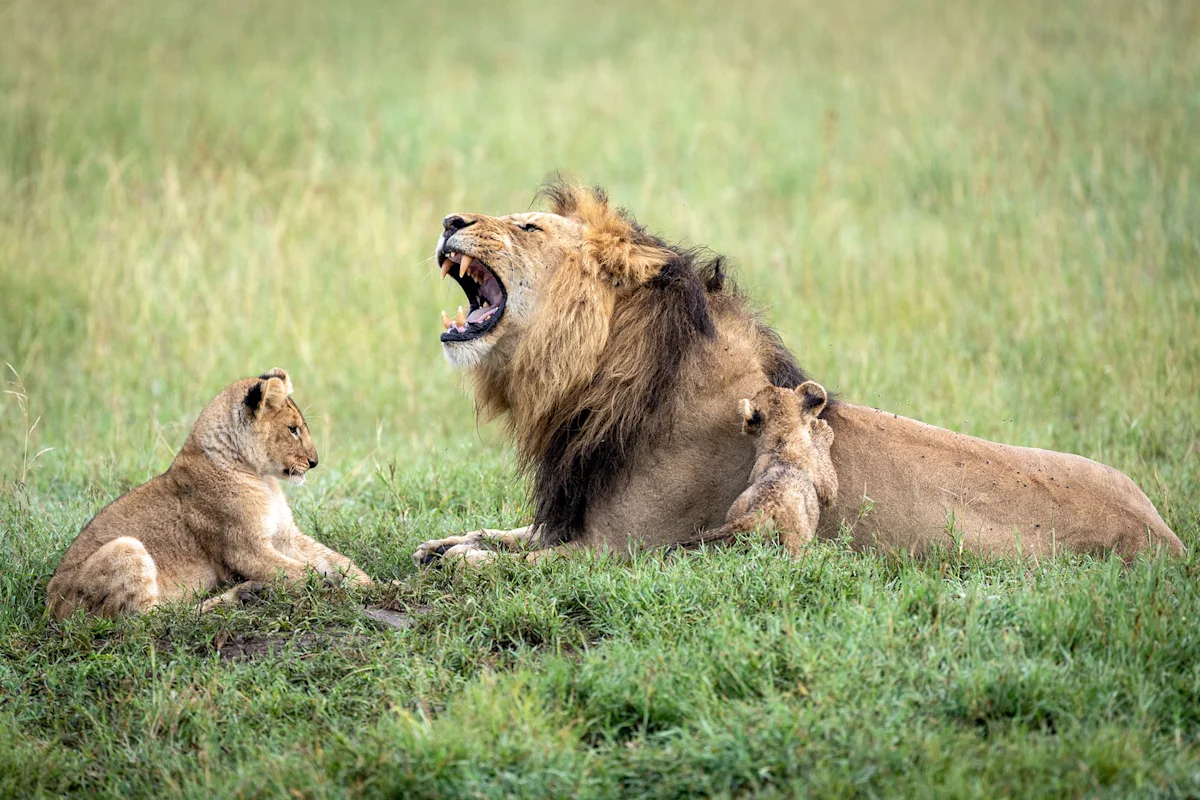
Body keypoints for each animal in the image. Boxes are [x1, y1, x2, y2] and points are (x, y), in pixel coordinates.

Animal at [47, 368, 371, 620]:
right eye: (293, 429)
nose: (314, 462)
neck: (261, 476)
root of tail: (50, 607)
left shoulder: (284, 535)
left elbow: (330, 557)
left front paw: (366, 582)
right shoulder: (245, 550)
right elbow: (298, 571)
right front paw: (327, 586)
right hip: (125, 547)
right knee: (151, 621)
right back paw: (243, 594)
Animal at [413, 180, 1183, 566]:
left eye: (528, 227)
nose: (450, 218)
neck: (589, 379)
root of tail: (1166, 539)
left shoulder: (620, 548)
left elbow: (520, 566)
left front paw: (464, 561)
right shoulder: (570, 517)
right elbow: (503, 534)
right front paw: (446, 542)